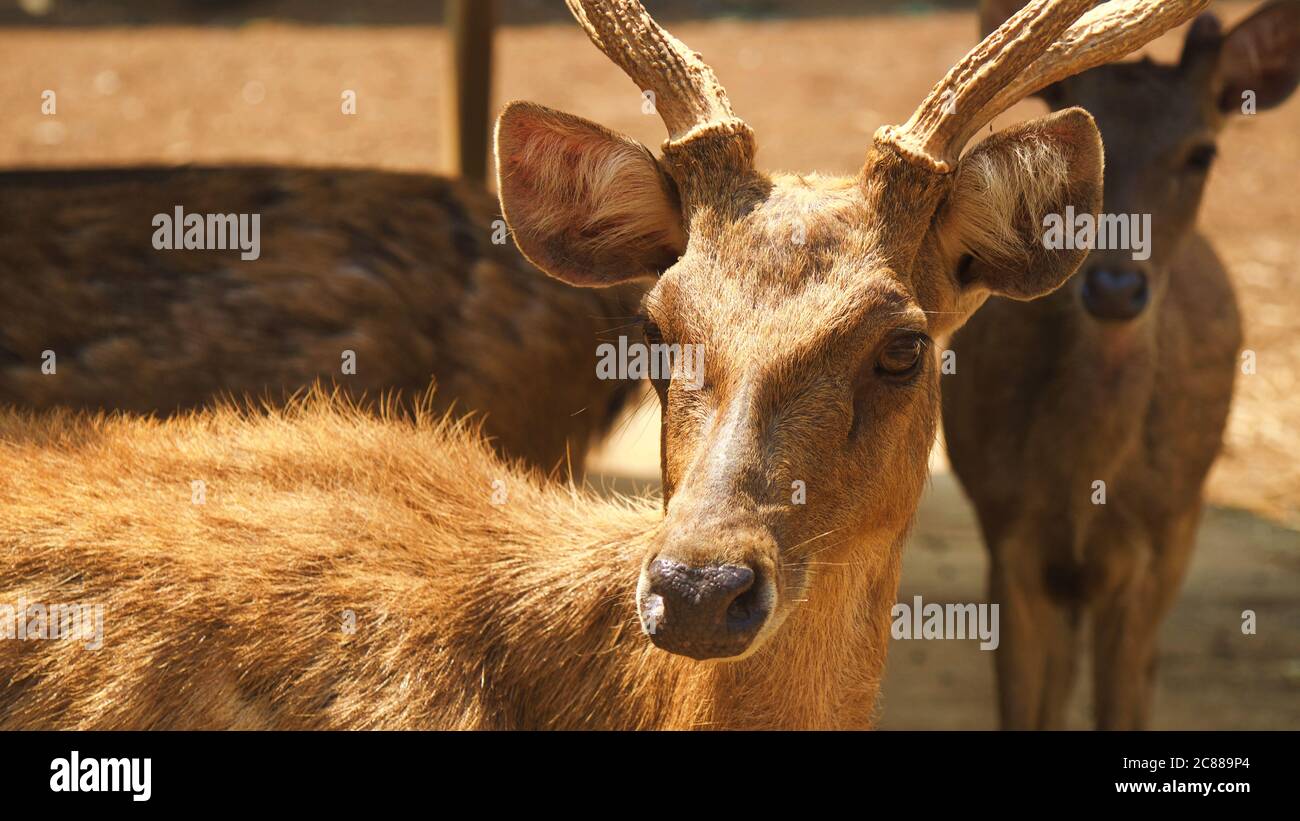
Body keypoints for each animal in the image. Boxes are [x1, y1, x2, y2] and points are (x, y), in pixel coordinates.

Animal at [941, 0, 1300, 732]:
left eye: (1201, 152)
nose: (1114, 287)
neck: (1088, 484)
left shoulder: (1152, 548)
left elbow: (1122, 704)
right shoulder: (1006, 531)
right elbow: (1027, 708)